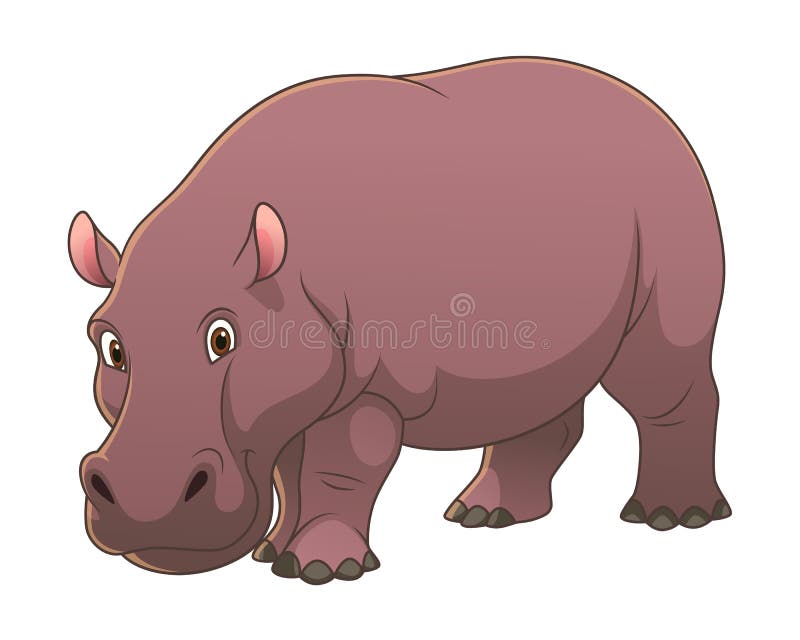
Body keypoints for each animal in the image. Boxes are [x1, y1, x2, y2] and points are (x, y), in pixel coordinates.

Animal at [68, 57, 729, 584]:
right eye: (111, 348)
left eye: (222, 339)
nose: (146, 510)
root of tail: (657, 113)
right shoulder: (287, 395)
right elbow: (287, 469)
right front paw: (272, 552)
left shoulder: (370, 386)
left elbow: (340, 466)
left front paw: (318, 571)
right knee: (535, 392)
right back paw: (484, 516)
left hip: (672, 213)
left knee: (660, 382)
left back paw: (672, 517)